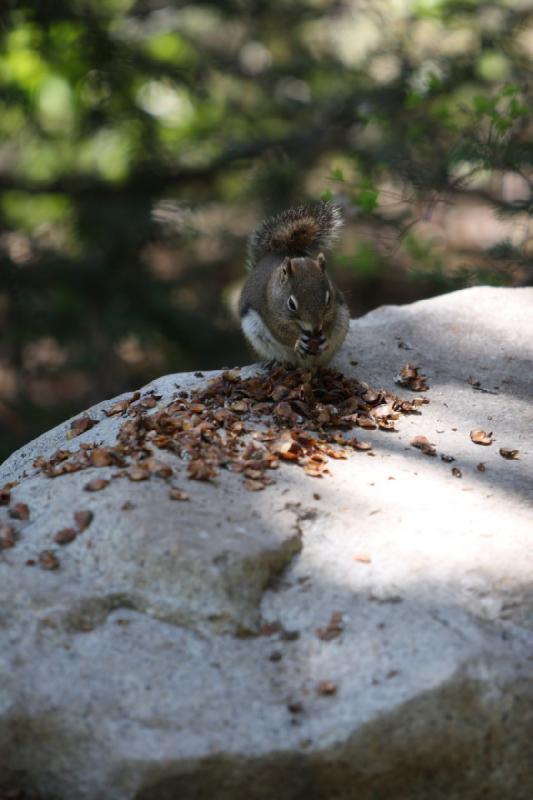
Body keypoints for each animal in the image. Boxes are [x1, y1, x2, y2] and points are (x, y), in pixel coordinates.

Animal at [238, 205, 350, 370]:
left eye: (328, 299)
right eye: (291, 304)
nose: (315, 329)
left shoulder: (334, 309)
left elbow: (330, 321)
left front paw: (324, 337)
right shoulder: (269, 311)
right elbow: (281, 332)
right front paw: (298, 341)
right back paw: (275, 362)